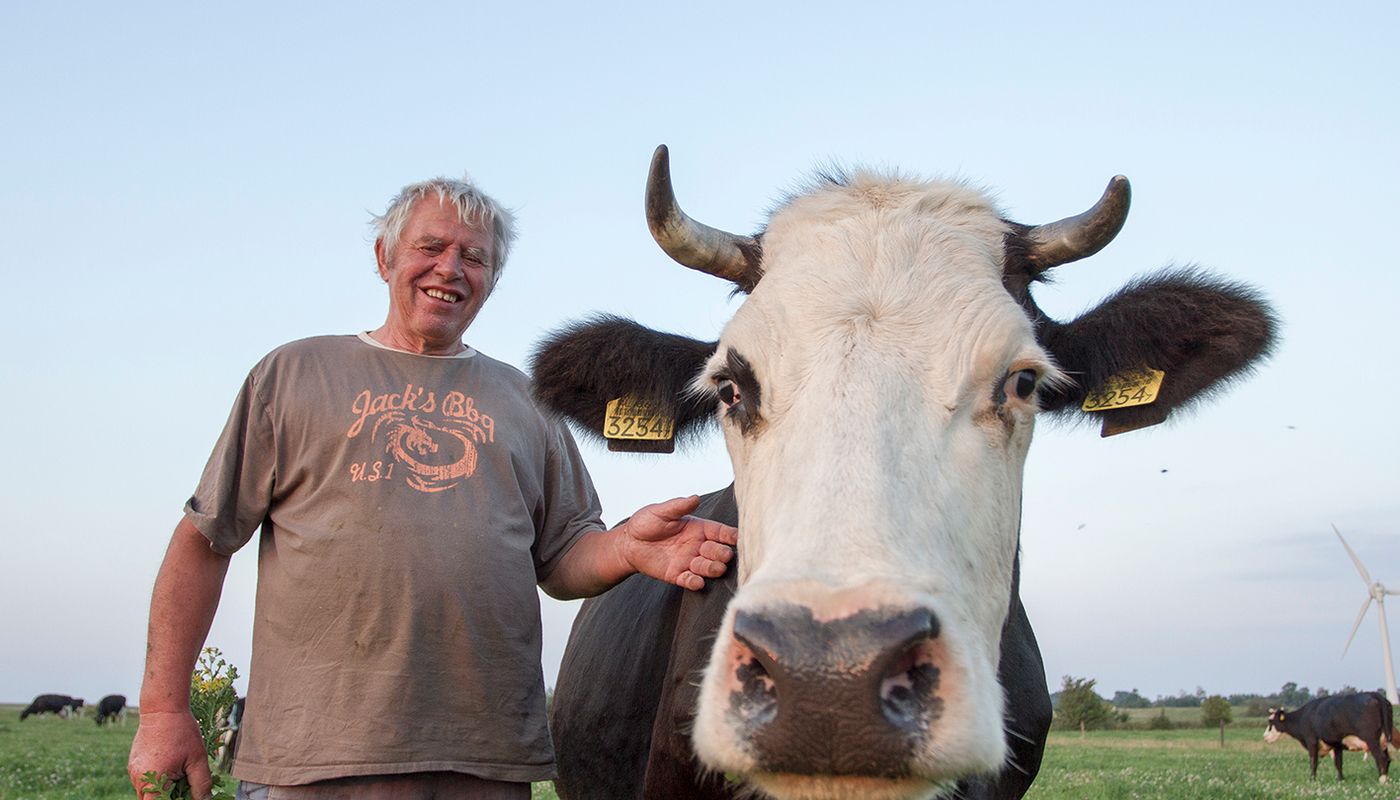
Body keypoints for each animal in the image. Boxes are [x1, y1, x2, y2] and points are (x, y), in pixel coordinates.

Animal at [1265, 693, 1393, 783]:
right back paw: (1385, 777)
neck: (1303, 717)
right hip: (1383, 740)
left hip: (1372, 739)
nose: (1264, 736)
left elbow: (1313, 761)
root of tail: (1374, 694)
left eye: (1271, 721)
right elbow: (1338, 763)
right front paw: (1340, 779)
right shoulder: (1337, 744)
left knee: (1381, 758)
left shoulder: (1311, 740)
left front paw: (1312, 779)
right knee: (1387, 758)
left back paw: (1382, 780)